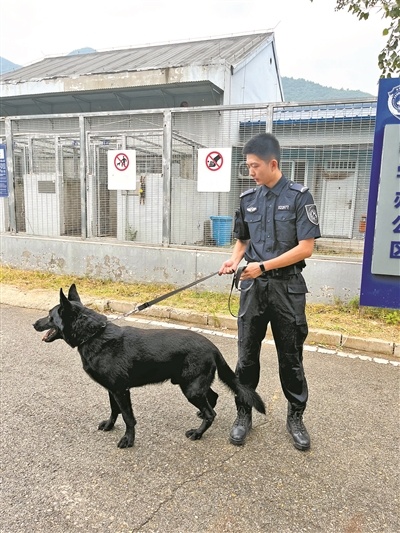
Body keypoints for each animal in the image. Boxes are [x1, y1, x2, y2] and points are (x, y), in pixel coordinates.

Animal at [33, 284, 266, 446]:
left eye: (50, 316)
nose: (34, 324)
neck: (94, 335)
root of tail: (212, 346)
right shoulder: (112, 390)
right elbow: (114, 411)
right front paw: (109, 425)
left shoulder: (121, 391)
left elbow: (128, 417)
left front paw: (128, 440)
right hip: (192, 384)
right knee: (212, 398)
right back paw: (201, 417)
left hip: (190, 388)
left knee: (211, 412)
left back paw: (198, 433)